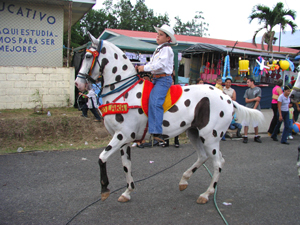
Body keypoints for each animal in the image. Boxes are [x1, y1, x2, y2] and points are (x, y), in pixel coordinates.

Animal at [75, 33, 264, 204]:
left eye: (88, 56)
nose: (78, 84)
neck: (125, 92)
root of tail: (227, 98)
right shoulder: (125, 141)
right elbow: (126, 166)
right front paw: (127, 192)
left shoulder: (122, 136)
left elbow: (102, 158)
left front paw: (105, 189)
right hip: (194, 133)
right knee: (203, 156)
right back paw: (184, 180)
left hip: (210, 137)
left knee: (218, 162)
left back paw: (206, 194)